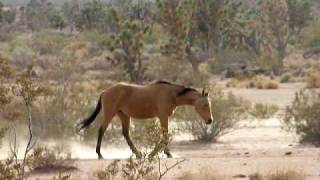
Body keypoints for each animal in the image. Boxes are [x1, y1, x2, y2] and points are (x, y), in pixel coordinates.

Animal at [77, 81, 212, 159]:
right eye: (205, 104)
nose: (210, 120)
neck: (171, 94)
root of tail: (104, 92)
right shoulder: (163, 116)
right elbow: (165, 135)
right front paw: (160, 153)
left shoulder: (164, 117)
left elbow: (165, 135)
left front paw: (164, 153)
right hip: (109, 113)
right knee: (101, 130)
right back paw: (99, 154)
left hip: (124, 116)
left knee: (125, 134)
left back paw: (138, 154)